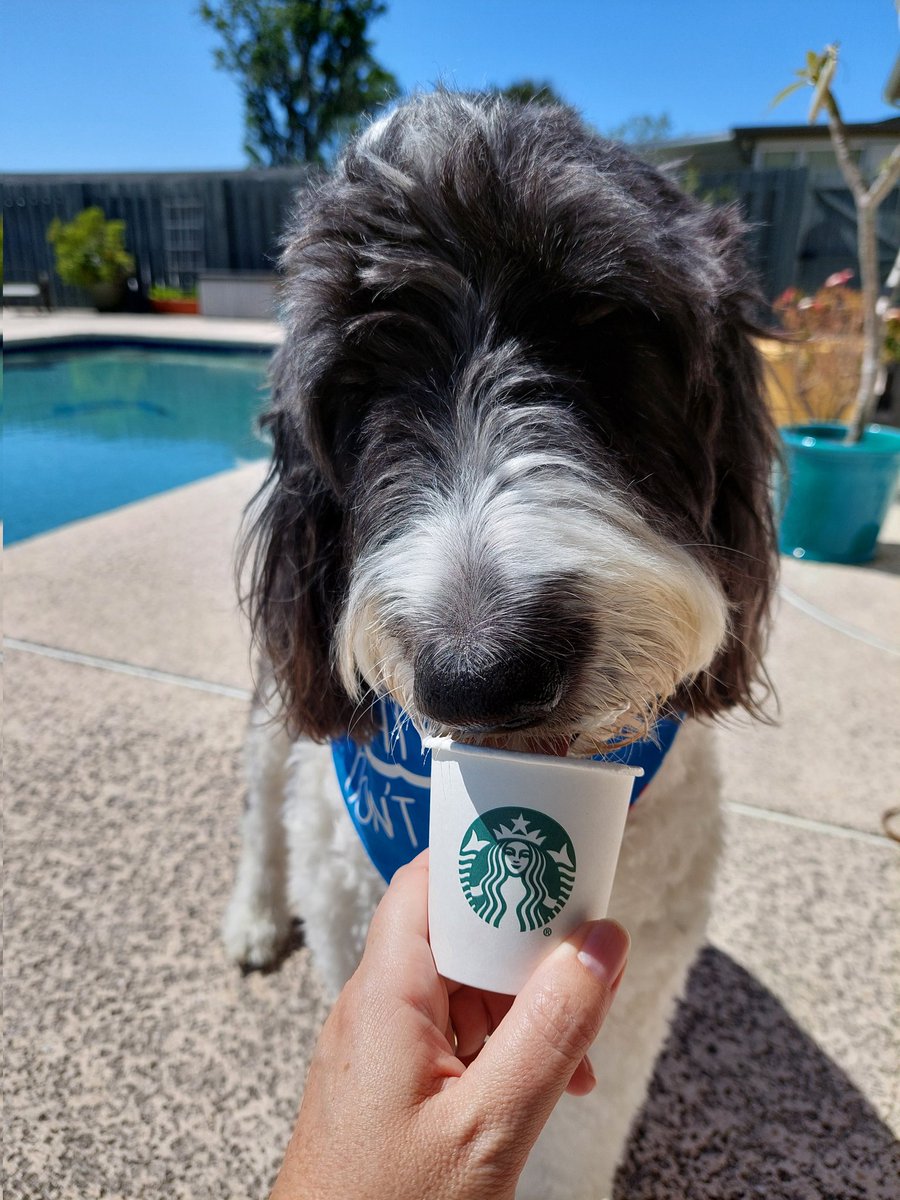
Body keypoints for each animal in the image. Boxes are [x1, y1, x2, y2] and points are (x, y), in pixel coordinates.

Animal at [222, 88, 777, 1195]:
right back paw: (257, 916)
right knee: (263, 802)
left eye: (607, 332)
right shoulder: (355, 914)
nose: (479, 673)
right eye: (356, 388)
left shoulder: (638, 972)